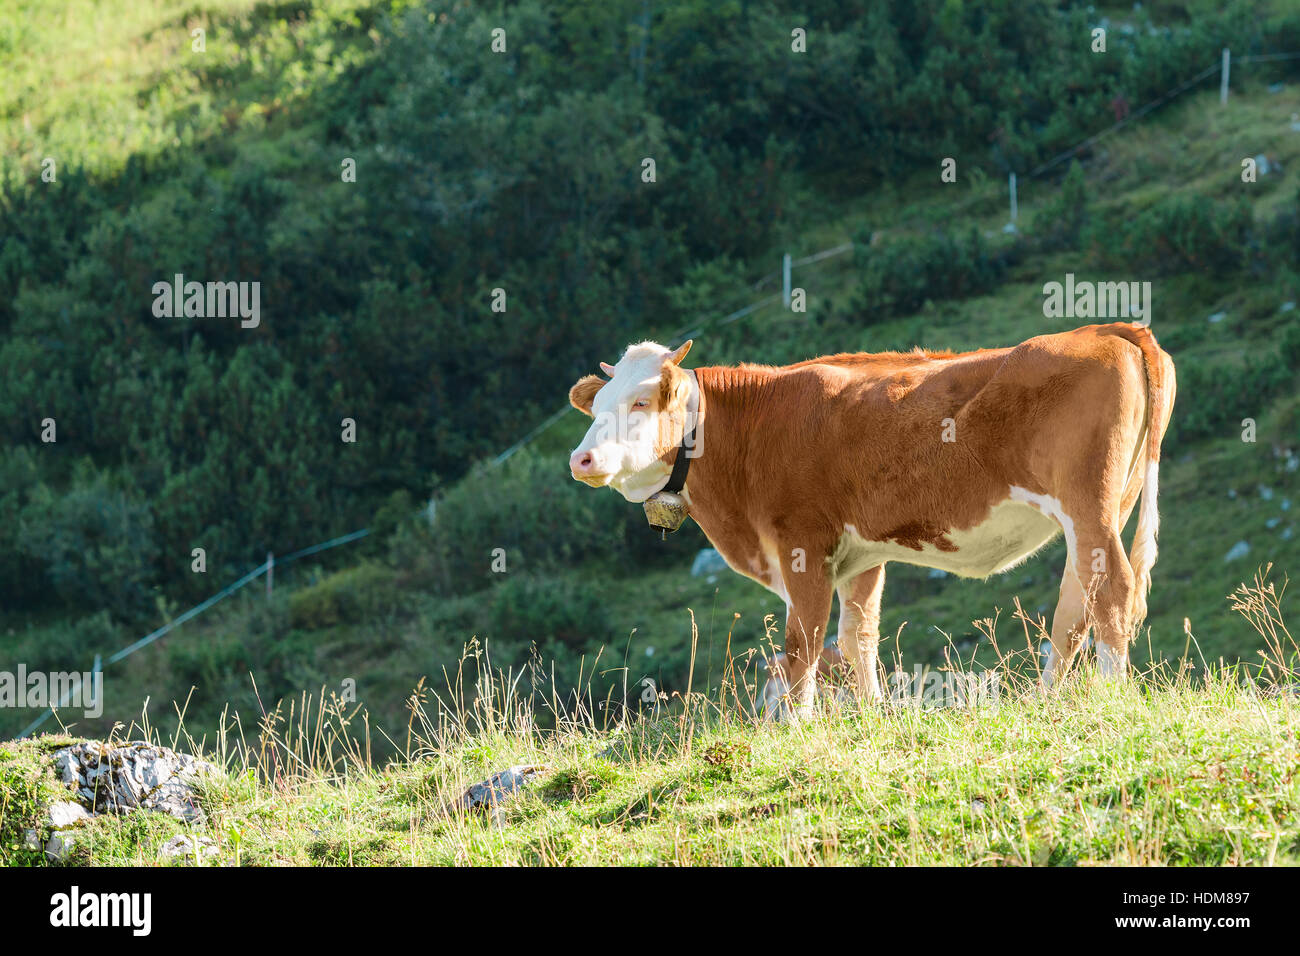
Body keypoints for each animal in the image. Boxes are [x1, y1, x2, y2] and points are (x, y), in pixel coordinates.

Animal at [569, 325, 1180, 712]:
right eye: (595, 408)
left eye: (640, 402)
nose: (581, 459)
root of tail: (1107, 329)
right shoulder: (861, 554)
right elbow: (856, 635)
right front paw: (869, 713)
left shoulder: (802, 545)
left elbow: (803, 641)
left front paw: (799, 725)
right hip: (1104, 508)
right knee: (1077, 602)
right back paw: (1049, 699)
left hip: (1088, 501)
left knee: (1114, 588)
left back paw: (1113, 695)